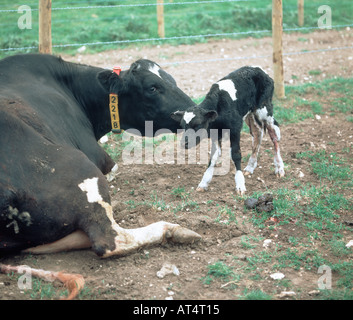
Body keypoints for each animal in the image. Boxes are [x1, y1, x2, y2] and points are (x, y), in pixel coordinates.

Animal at [0, 52, 199, 296]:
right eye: (153, 88)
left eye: (172, 79)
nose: (198, 113)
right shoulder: (101, 159)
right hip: (81, 168)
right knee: (110, 241)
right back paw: (172, 230)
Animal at [170, 66, 284, 194]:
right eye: (182, 125)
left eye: (197, 125)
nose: (184, 143)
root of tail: (257, 69)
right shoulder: (215, 134)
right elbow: (214, 156)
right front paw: (203, 182)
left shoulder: (235, 129)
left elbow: (236, 154)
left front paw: (240, 185)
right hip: (250, 114)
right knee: (257, 133)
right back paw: (250, 167)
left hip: (265, 110)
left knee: (274, 133)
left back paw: (279, 168)